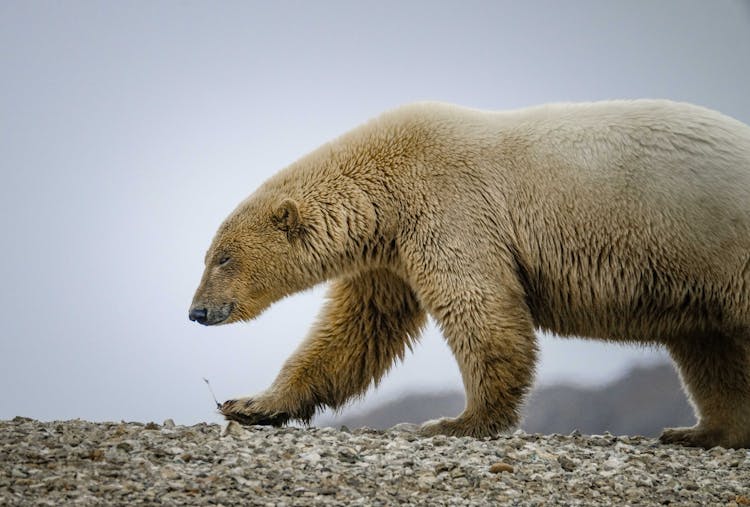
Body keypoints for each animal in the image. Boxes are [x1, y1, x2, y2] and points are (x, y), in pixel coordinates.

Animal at [189, 99, 750, 448]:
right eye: (209, 255)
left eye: (223, 258)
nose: (197, 311)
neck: (385, 179)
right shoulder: (390, 252)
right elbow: (355, 332)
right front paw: (249, 404)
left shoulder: (449, 207)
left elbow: (481, 311)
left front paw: (455, 422)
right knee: (708, 347)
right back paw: (701, 432)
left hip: (720, 243)